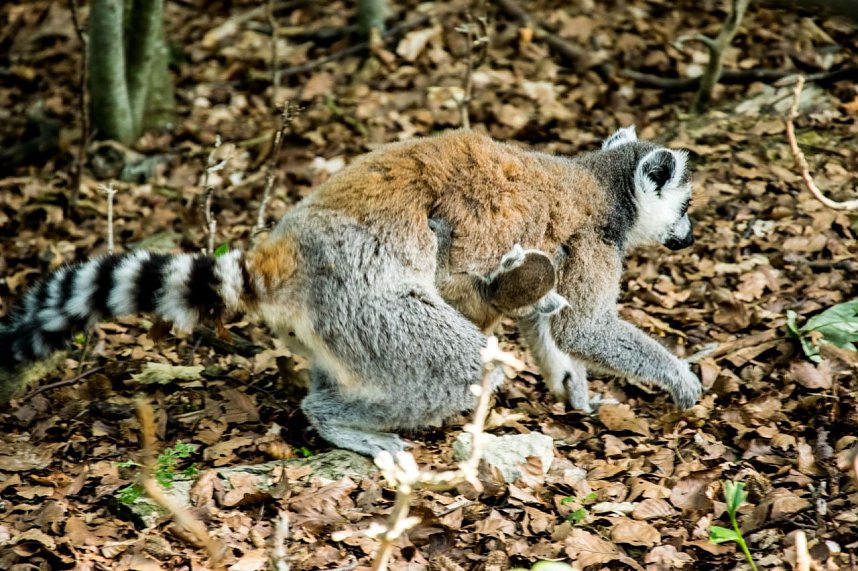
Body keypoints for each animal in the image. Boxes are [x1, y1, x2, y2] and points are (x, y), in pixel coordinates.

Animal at [0, 126, 701, 456]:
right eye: (686, 204)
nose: (689, 233)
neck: (605, 185)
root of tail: (282, 253)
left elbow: (551, 325)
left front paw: (568, 382)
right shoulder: (592, 239)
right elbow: (585, 326)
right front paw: (679, 378)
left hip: (341, 327)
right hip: (366, 297)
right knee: (458, 363)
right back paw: (341, 423)